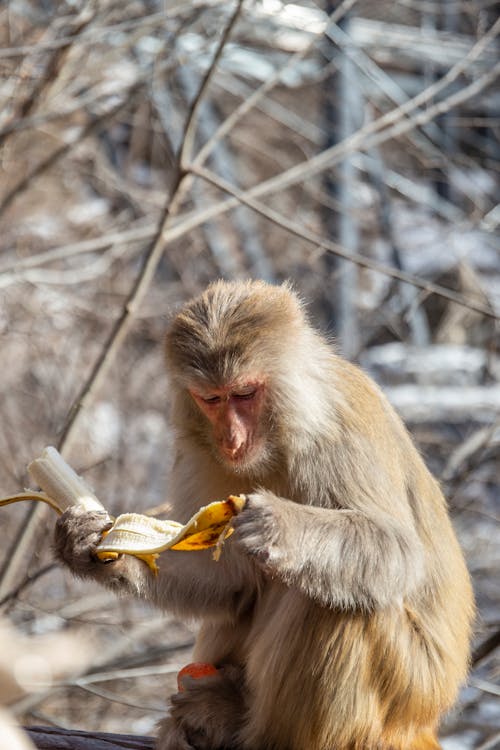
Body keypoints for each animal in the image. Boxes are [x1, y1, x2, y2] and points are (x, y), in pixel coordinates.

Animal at [54, 280, 472, 750]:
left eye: (244, 394)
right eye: (212, 399)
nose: (231, 438)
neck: (280, 435)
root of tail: (422, 723)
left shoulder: (338, 431)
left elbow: (398, 552)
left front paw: (278, 526)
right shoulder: (198, 454)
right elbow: (230, 583)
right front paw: (91, 546)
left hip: (405, 693)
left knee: (343, 601)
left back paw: (246, 724)